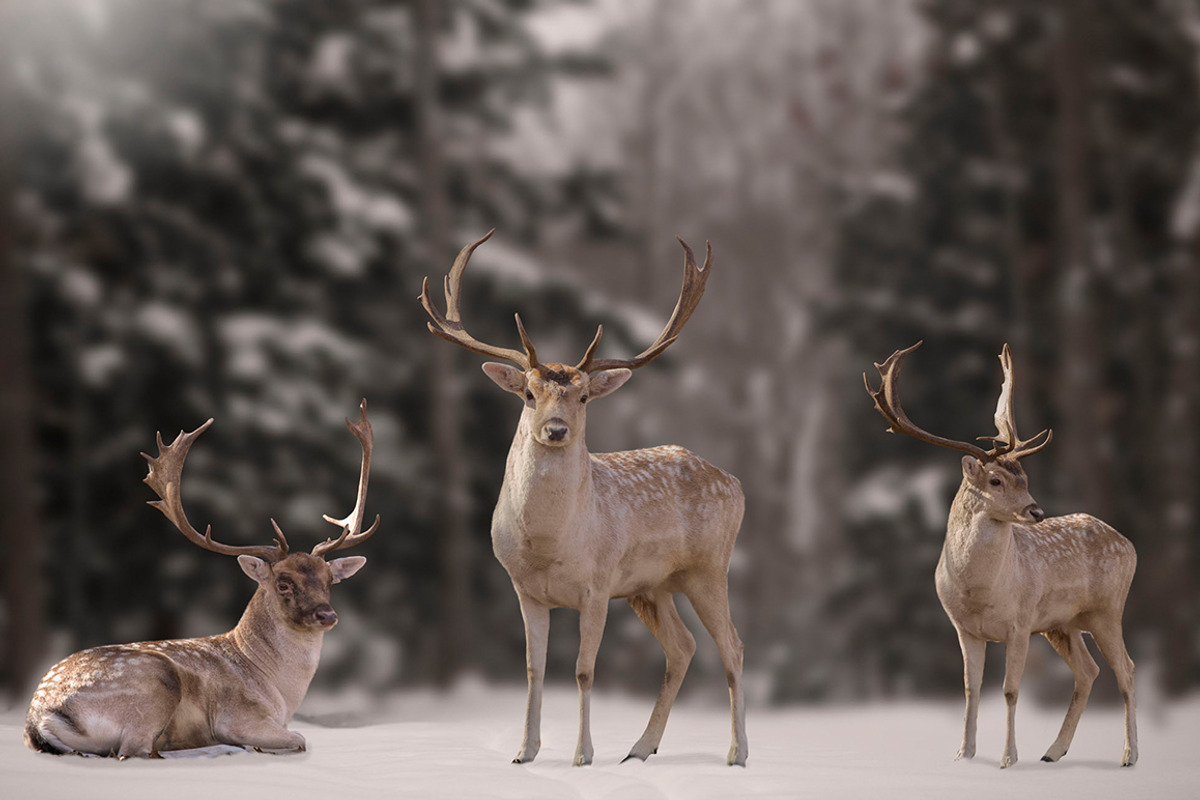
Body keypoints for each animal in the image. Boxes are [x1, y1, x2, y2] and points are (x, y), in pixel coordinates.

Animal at [24, 400, 380, 759]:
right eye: (283, 582)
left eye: (329, 581)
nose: (327, 615)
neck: (279, 693)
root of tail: (40, 717)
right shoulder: (240, 716)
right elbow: (300, 738)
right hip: (156, 683)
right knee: (134, 750)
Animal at [420, 230, 747, 767]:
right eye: (529, 394)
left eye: (584, 397)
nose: (555, 430)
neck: (547, 546)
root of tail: (735, 483)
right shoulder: (525, 589)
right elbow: (533, 669)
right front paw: (524, 752)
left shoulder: (597, 585)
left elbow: (583, 670)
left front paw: (582, 756)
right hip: (651, 585)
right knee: (682, 648)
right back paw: (640, 749)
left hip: (708, 567)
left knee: (733, 647)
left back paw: (736, 754)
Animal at [865, 342, 1137, 768]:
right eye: (995, 480)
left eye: (1025, 479)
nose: (1036, 511)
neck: (978, 592)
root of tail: (1129, 544)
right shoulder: (964, 629)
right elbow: (971, 689)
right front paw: (964, 754)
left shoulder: (1020, 623)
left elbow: (1010, 690)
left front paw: (1008, 758)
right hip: (1063, 623)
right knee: (1089, 670)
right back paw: (1052, 752)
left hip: (1107, 608)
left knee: (1126, 669)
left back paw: (1129, 756)